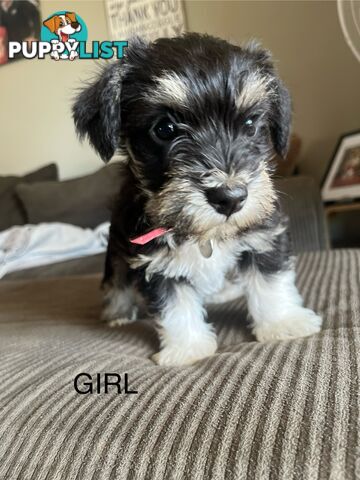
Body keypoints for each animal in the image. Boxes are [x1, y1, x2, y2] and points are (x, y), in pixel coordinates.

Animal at [71, 33, 322, 366]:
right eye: (164, 129)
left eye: (250, 124)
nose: (230, 198)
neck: (206, 235)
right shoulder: (155, 264)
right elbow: (175, 306)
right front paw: (187, 348)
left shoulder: (263, 235)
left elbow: (270, 282)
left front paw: (283, 323)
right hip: (116, 253)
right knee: (116, 283)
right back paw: (117, 313)